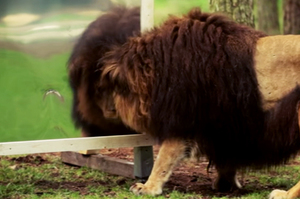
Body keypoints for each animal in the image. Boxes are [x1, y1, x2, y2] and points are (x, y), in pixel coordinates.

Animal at [98, 7, 300, 197]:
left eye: (105, 89)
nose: (104, 111)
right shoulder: (223, 124)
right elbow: (226, 157)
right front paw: (226, 184)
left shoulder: (182, 116)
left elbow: (164, 158)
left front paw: (147, 188)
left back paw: (284, 194)